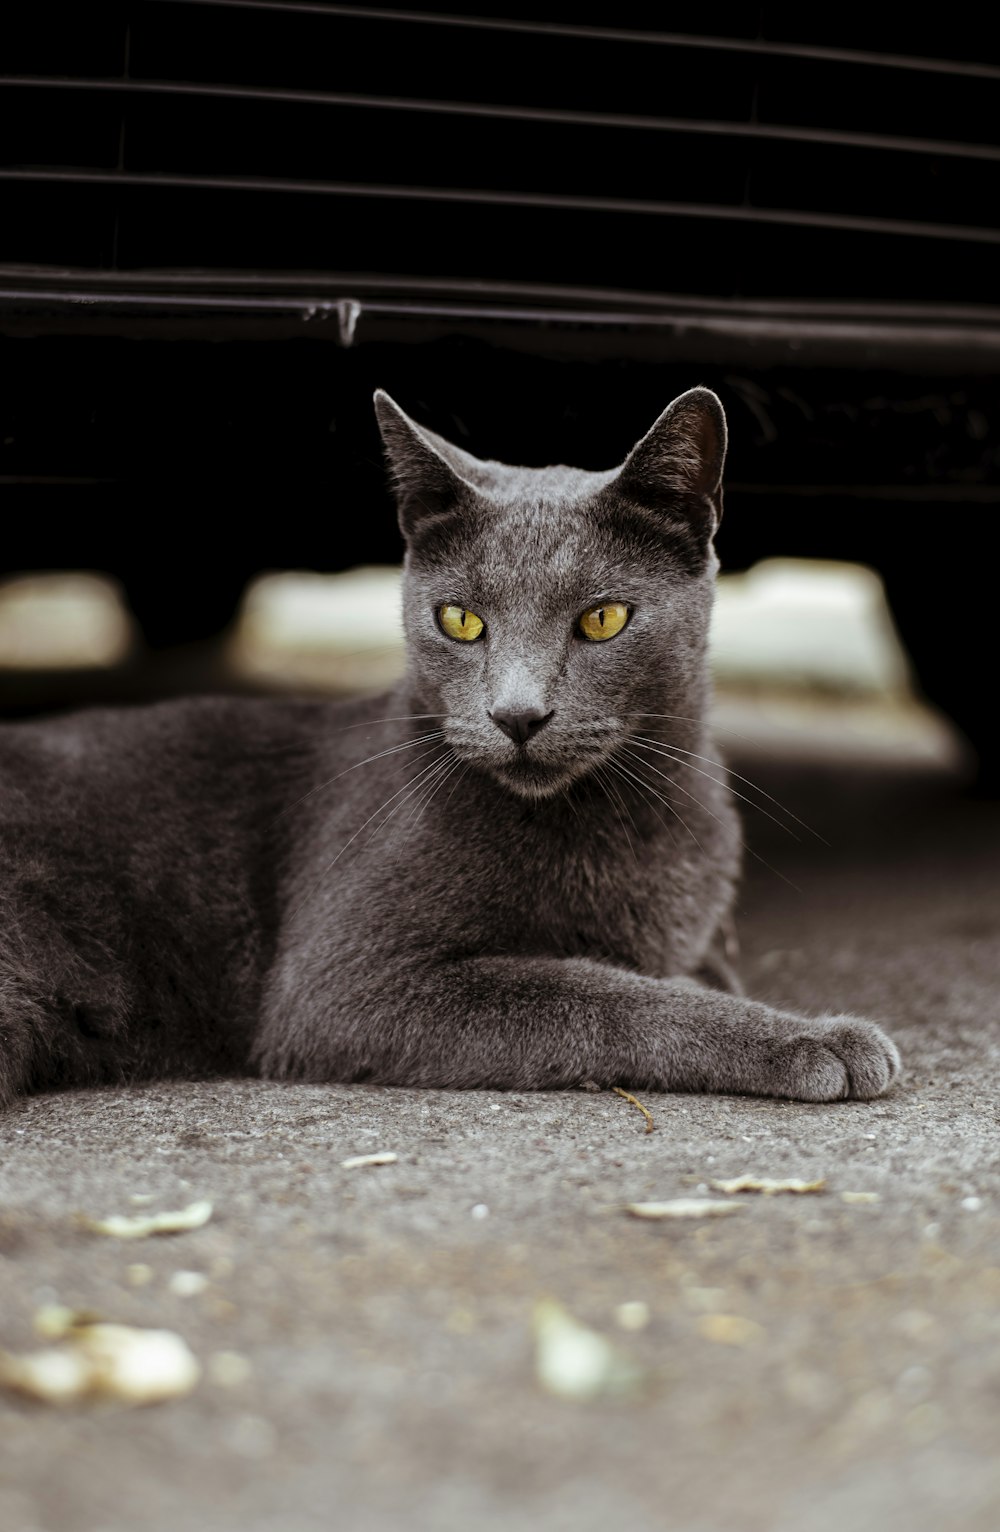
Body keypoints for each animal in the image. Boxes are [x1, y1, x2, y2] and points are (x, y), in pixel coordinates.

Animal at [0, 381, 900, 1103]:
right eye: (460, 620)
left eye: (603, 619)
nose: (518, 715)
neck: (624, 822)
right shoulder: (346, 985)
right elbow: (600, 992)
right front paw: (815, 1037)